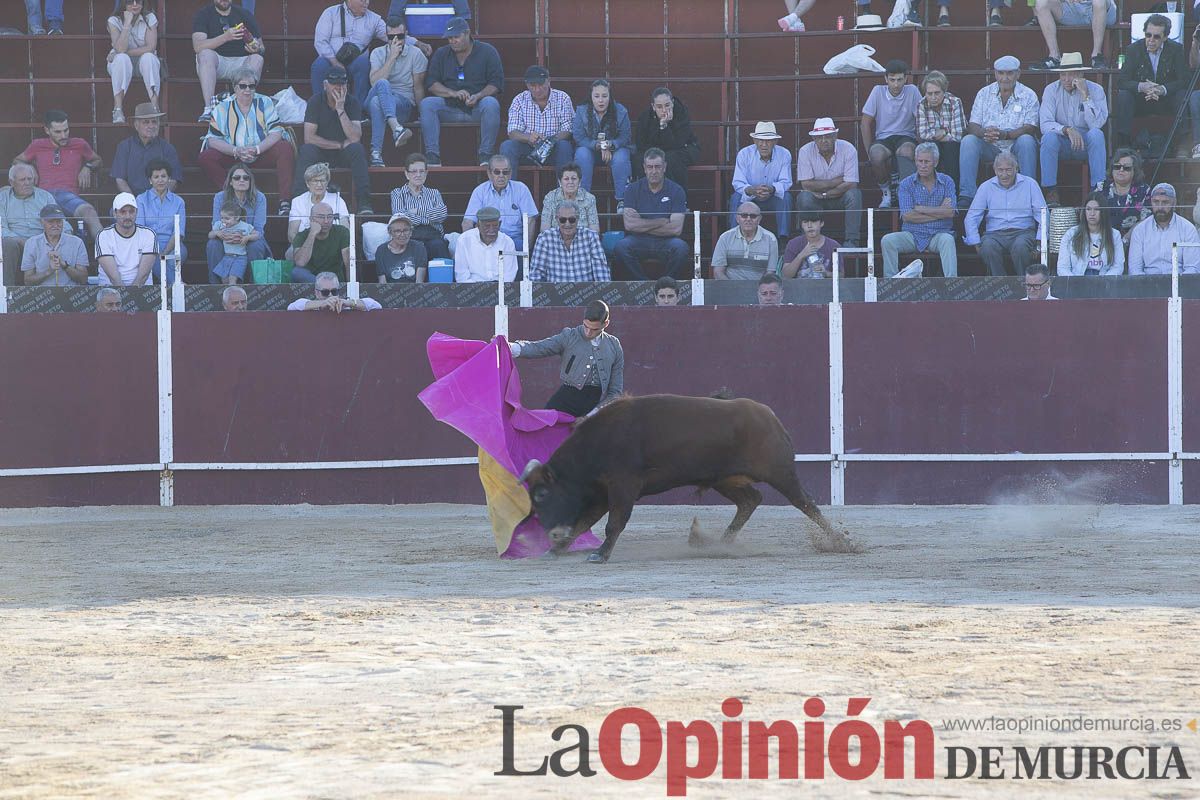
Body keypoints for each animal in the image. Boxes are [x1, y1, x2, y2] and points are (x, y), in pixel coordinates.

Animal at [520, 393, 859, 563]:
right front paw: (556, 550)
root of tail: (771, 417)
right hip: (726, 479)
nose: (550, 532)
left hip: (780, 473)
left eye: (542, 494)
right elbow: (584, 521)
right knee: (751, 499)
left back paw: (840, 542)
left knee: (806, 504)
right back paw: (720, 544)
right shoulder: (603, 492)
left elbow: (613, 523)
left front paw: (600, 555)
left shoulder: (622, 486)